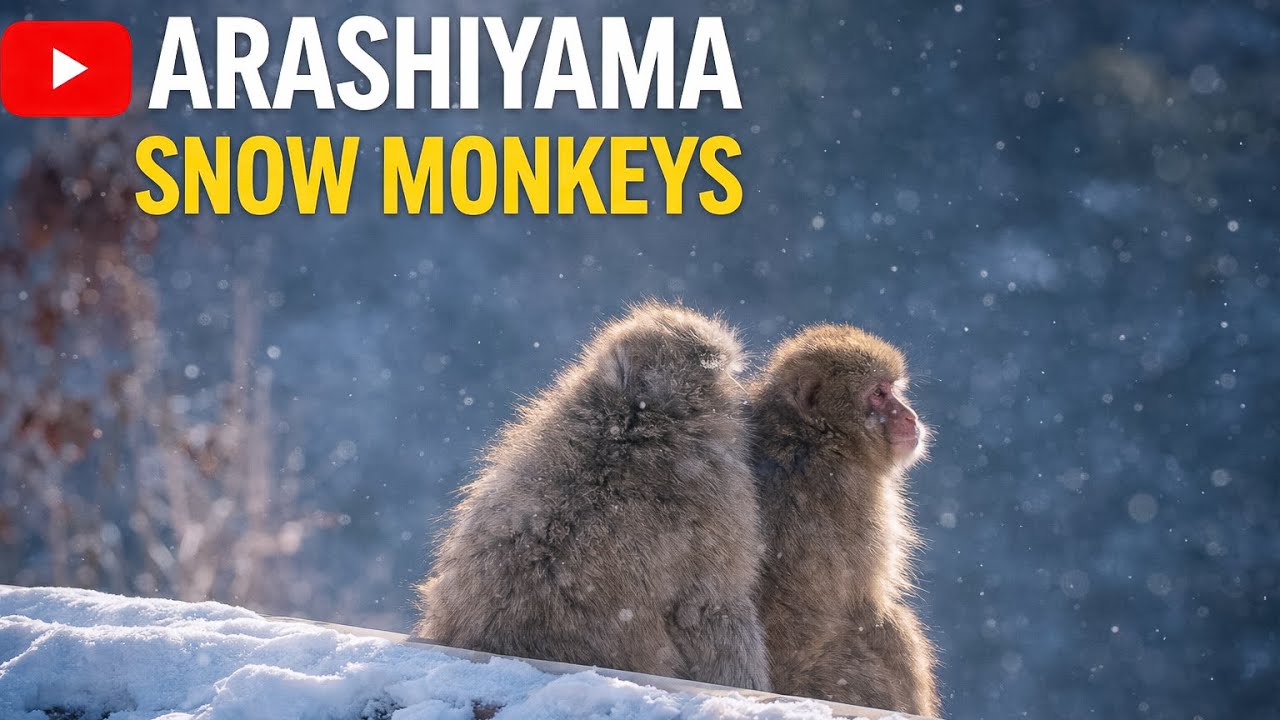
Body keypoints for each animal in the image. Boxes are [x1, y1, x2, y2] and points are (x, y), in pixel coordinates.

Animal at [748, 324, 939, 716]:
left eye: (893, 389)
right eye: (878, 394)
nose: (910, 416)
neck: (817, 436)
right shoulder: (857, 495)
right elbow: (868, 607)